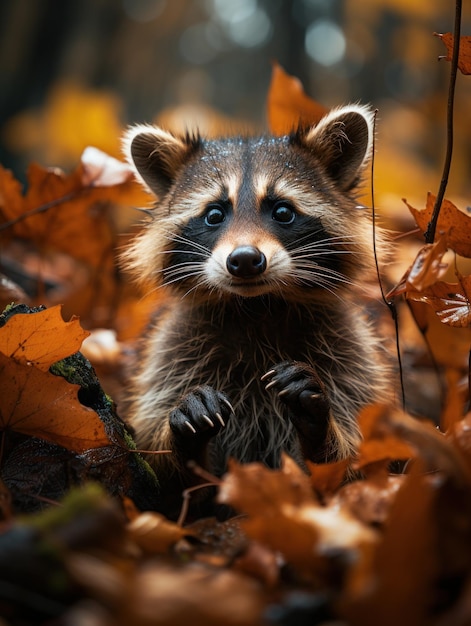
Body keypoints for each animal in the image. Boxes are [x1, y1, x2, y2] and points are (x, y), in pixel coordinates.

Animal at [121, 105, 390, 516]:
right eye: (214, 215)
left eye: (282, 211)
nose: (246, 260)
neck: (256, 307)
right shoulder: (173, 353)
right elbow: (171, 486)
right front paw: (185, 439)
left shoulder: (350, 356)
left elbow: (355, 470)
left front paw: (321, 427)